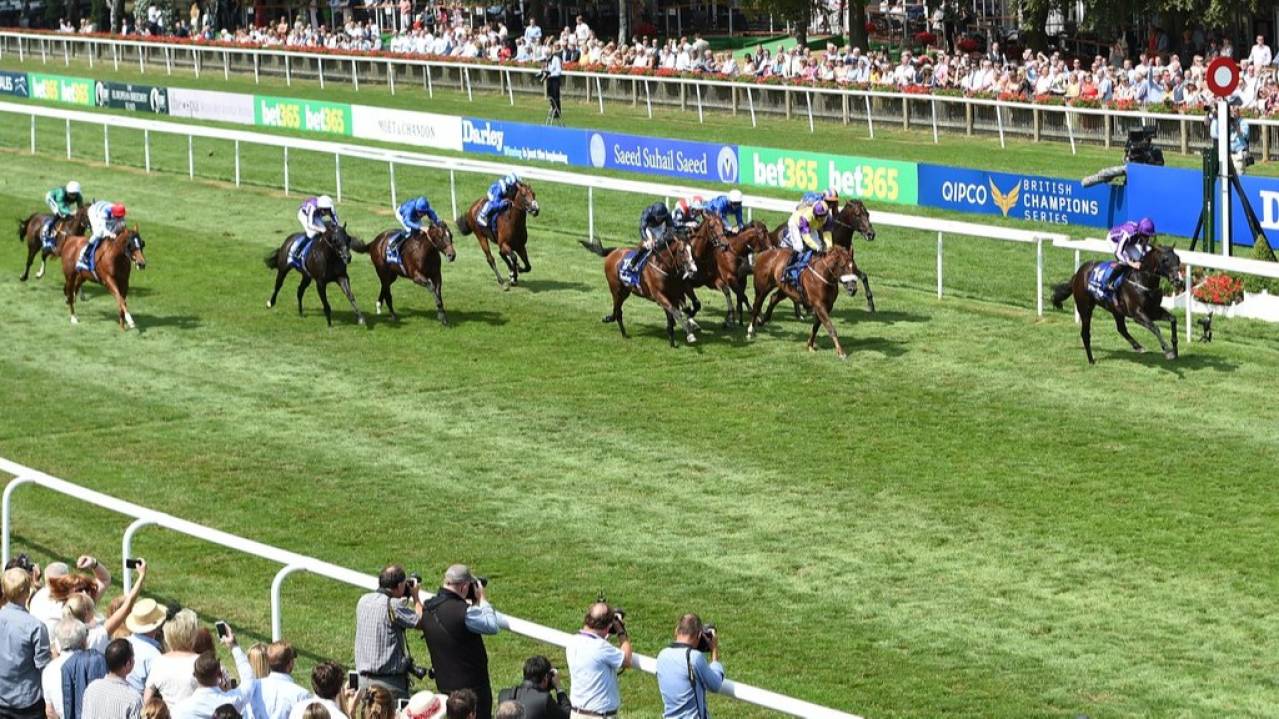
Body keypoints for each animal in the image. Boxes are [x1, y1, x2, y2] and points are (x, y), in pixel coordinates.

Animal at [1053, 243, 1181, 363]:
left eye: (1178, 258)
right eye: (1165, 259)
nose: (1177, 280)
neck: (1142, 281)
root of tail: (1078, 274)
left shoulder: (1153, 310)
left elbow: (1173, 319)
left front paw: (1175, 348)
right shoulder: (1137, 314)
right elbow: (1155, 327)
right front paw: (1168, 351)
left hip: (1116, 310)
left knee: (1121, 328)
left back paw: (1138, 347)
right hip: (1085, 308)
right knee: (1085, 334)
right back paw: (1091, 360)